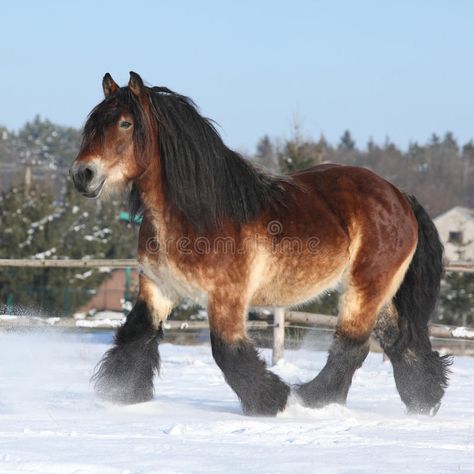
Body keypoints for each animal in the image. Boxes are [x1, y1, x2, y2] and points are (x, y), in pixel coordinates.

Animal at [68, 72, 450, 416]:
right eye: (93, 123)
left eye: (125, 123)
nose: (82, 174)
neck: (198, 213)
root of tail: (400, 196)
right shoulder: (158, 287)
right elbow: (137, 334)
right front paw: (122, 396)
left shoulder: (227, 295)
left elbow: (226, 350)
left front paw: (270, 402)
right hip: (381, 293)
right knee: (399, 340)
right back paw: (422, 402)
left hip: (364, 288)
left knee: (352, 345)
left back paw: (312, 399)